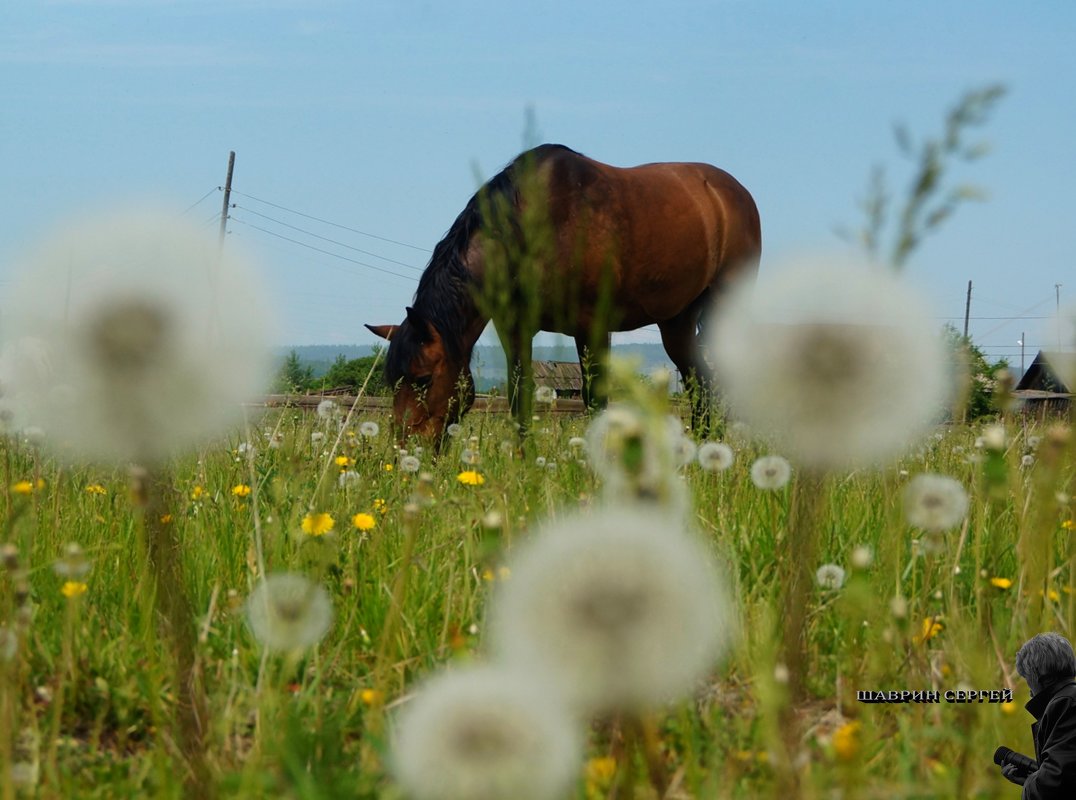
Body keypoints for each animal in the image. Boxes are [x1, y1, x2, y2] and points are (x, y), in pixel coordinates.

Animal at [365, 145, 761, 443]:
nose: (406, 451)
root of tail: (733, 193)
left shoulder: (592, 327)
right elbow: (520, 398)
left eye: (423, 379)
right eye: (391, 381)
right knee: (700, 381)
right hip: (676, 321)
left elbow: (595, 399)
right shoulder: (516, 330)